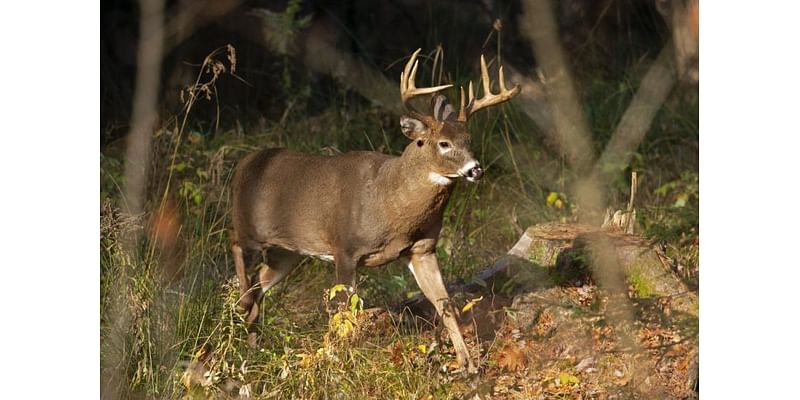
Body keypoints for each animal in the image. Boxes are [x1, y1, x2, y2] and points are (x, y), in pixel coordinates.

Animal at [230, 49, 520, 372]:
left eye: (468, 141)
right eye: (443, 143)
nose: (475, 169)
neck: (391, 205)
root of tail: (243, 164)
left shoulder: (422, 249)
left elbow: (444, 304)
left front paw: (467, 365)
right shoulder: (344, 247)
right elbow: (344, 312)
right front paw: (338, 361)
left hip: (287, 252)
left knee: (259, 284)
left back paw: (251, 346)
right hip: (248, 226)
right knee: (235, 246)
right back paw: (242, 311)